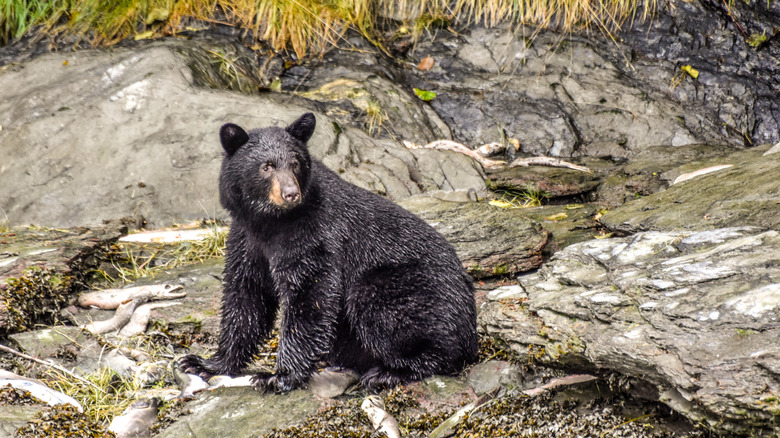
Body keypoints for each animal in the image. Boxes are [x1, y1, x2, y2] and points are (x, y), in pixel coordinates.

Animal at [179, 113, 478, 392]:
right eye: (266, 166)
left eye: (295, 163)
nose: (291, 193)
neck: (271, 223)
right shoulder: (247, 240)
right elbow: (246, 297)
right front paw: (204, 362)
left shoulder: (315, 234)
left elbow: (310, 294)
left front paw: (278, 376)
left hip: (409, 289)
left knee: (391, 314)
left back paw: (390, 371)